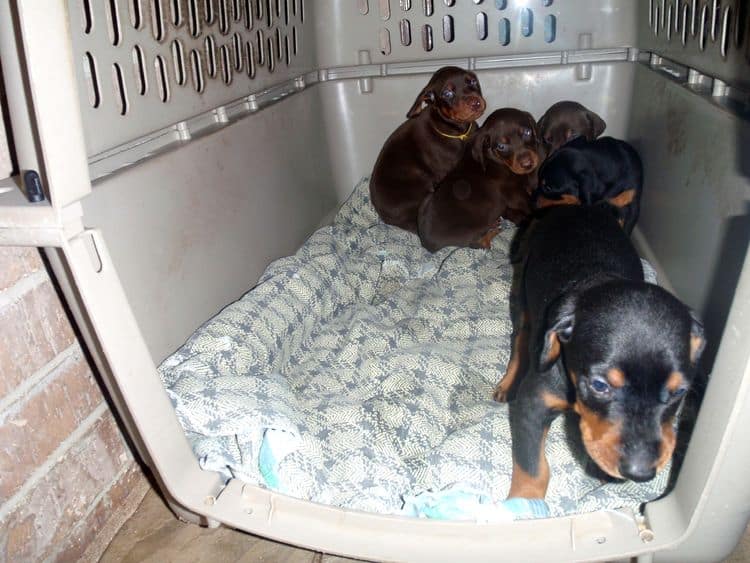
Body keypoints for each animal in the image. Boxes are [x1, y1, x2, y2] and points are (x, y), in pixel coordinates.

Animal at [418, 108, 540, 253]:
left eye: (527, 132)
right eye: (501, 146)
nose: (528, 164)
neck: (496, 160)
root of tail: (427, 244)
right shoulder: (515, 194)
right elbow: (530, 204)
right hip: (472, 231)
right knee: (480, 244)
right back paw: (494, 229)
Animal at [496, 205, 708, 500]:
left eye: (679, 392)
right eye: (599, 385)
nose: (640, 472)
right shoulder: (533, 404)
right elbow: (533, 467)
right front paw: (524, 503)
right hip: (522, 292)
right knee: (520, 337)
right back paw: (507, 383)